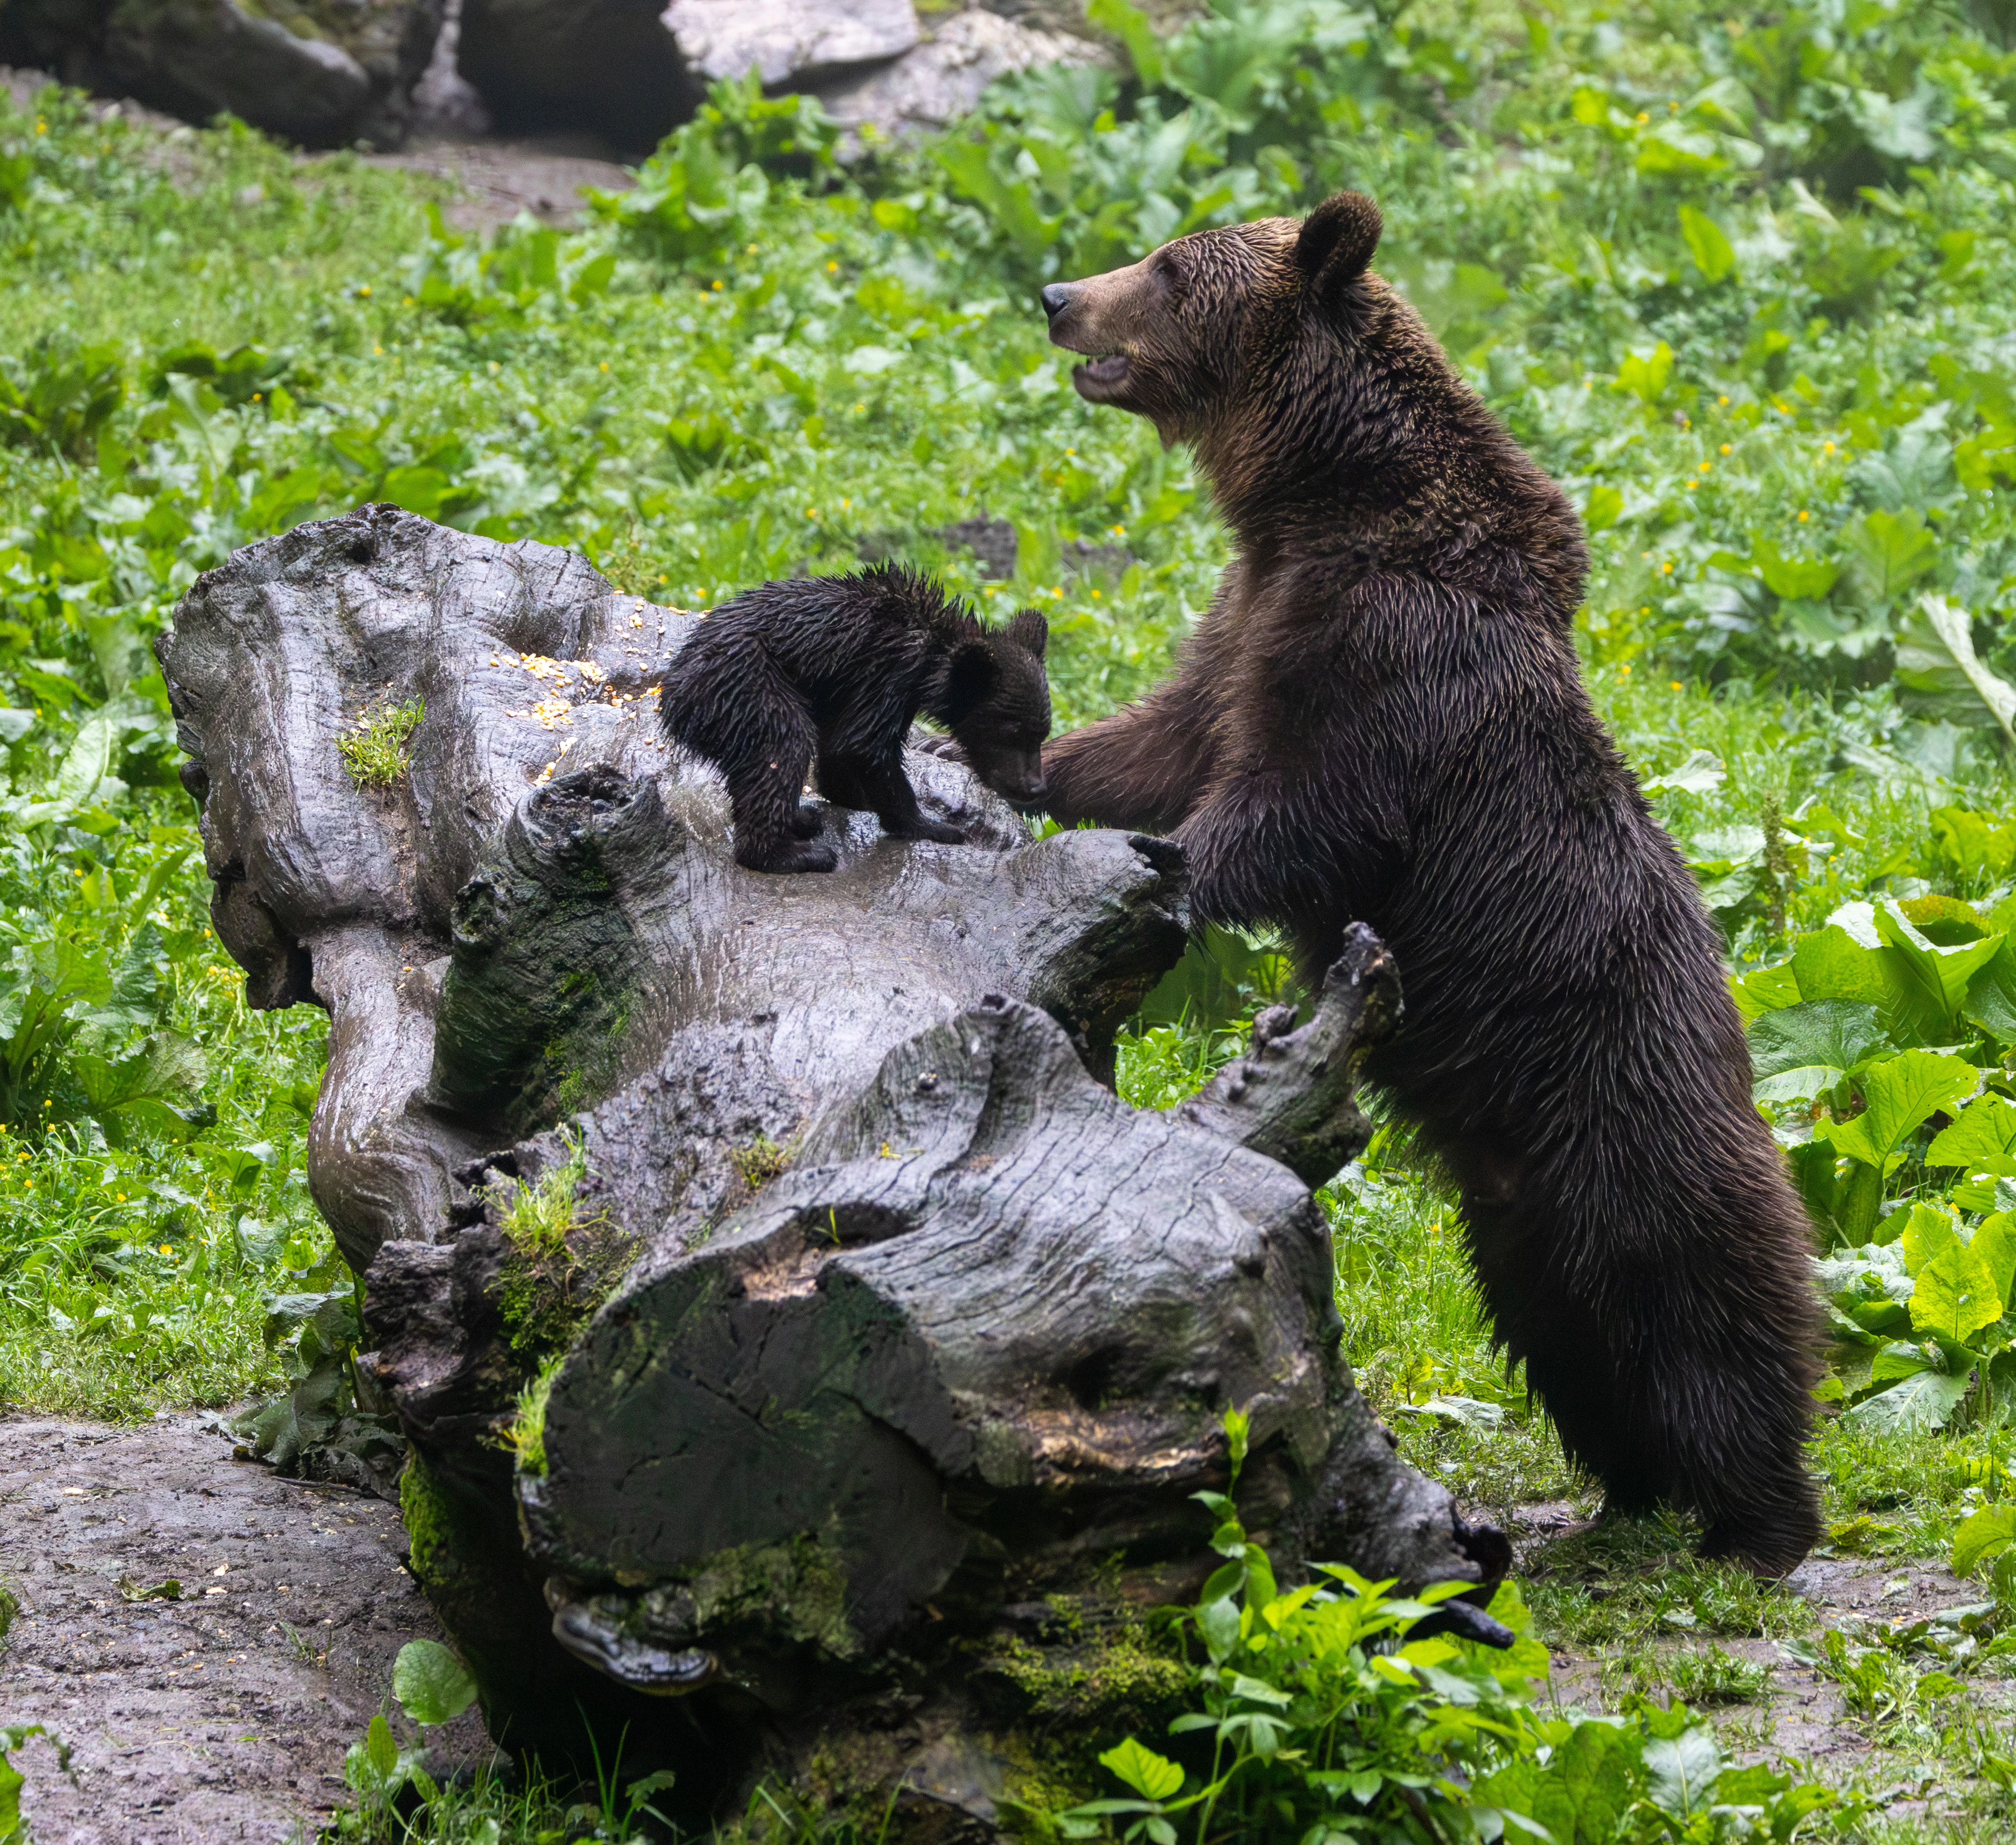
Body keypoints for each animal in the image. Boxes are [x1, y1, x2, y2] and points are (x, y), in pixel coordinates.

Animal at [660, 564, 1051, 873]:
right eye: (1012, 732)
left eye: (1042, 733)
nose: (1036, 788)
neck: (933, 653)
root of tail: (673, 697)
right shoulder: (891, 671)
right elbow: (865, 745)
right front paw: (931, 825)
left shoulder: (842, 686)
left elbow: (838, 743)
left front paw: (849, 795)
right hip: (748, 687)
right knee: (783, 745)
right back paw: (794, 855)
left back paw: (801, 818)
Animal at [1032, 192, 1823, 1576]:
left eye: (1171, 269)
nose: (1057, 296)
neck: (1318, 500)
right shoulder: (1244, 622)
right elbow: (1149, 746)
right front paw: (997, 752)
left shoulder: (1390, 662)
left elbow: (1293, 815)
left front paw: (1157, 875)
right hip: (1517, 1217)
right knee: (1570, 1332)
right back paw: (1624, 1495)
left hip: (1632, 1098)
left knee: (1708, 1287)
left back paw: (1761, 1517)